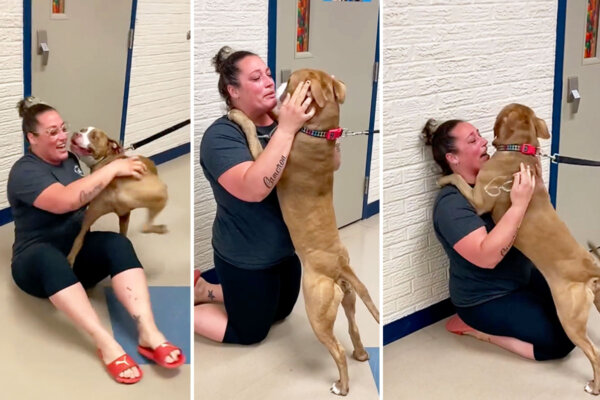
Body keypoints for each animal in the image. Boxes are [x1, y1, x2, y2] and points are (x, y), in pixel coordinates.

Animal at [227, 69, 378, 396]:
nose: (275, 78)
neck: (320, 133)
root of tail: (340, 266)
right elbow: (275, 118)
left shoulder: (262, 161)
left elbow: (254, 129)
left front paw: (237, 114)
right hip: (347, 300)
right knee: (353, 328)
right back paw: (361, 354)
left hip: (316, 311)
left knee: (336, 350)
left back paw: (342, 387)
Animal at [436, 103, 600, 394]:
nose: (484, 141)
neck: (521, 150)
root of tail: (590, 268)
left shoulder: (478, 199)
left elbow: (457, 177)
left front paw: (443, 180)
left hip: (569, 319)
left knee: (594, 353)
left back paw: (594, 386)